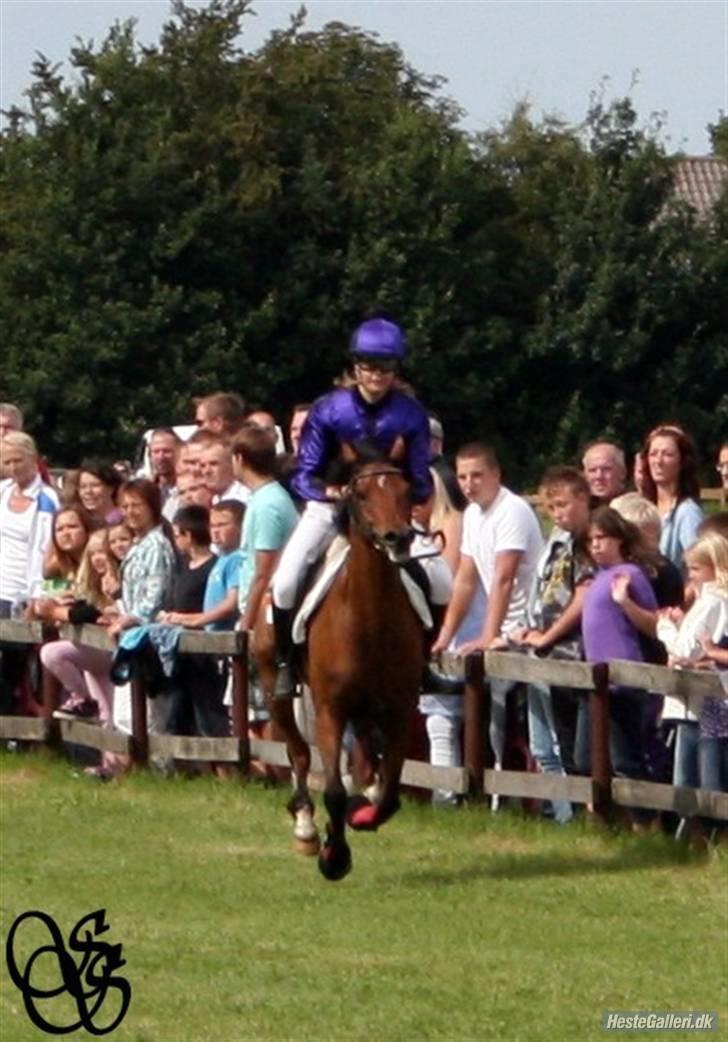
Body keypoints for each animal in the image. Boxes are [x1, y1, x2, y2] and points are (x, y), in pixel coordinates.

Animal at [253, 439, 424, 879]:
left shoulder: (399, 709)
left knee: (362, 763)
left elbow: (390, 794)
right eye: (360, 494)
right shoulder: (330, 710)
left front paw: (362, 815)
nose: (397, 538)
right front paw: (334, 856)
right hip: (275, 689)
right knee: (298, 753)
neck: (369, 618)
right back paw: (305, 828)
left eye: (405, 491)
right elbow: (331, 789)